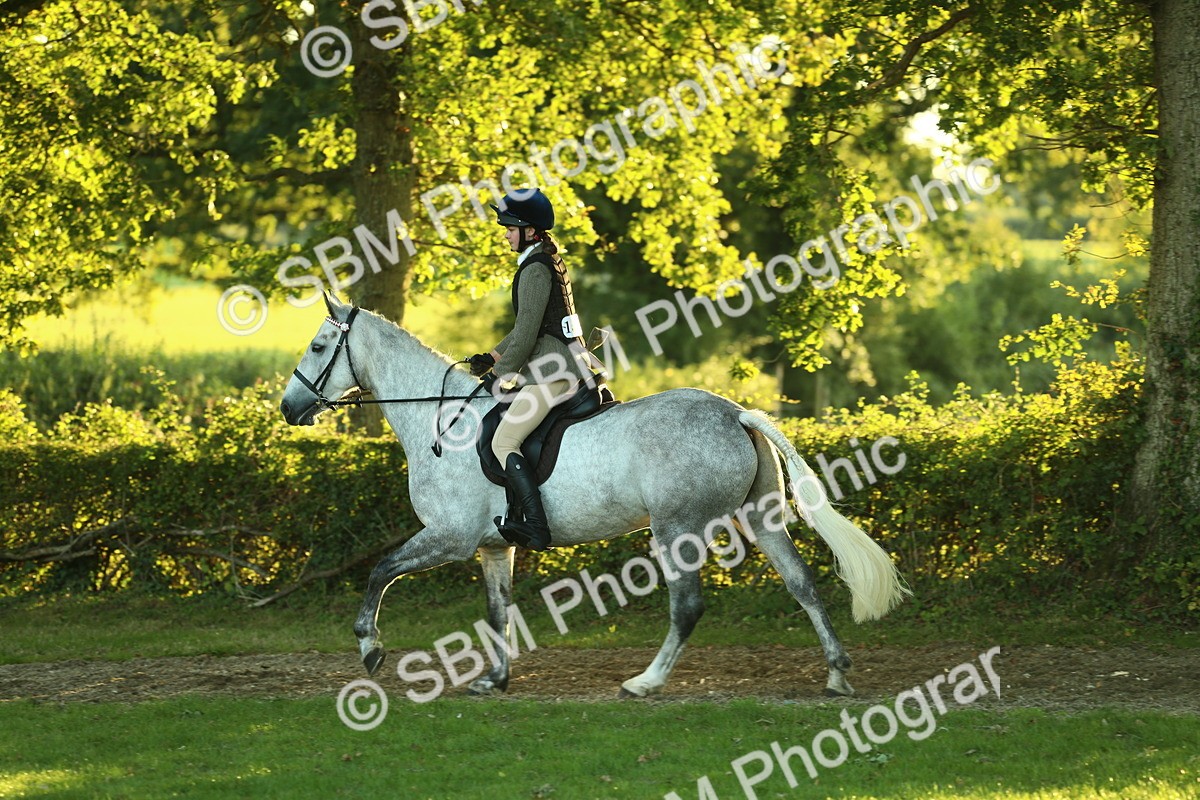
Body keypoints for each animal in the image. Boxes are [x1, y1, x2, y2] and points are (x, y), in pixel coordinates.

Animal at [279, 293, 910, 698]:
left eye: (317, 346)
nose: (288, 408)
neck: (441, 418)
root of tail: (734, 412)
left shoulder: (450, 537)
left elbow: (380, 571)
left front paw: (370, 648)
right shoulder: (492, 546)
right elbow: (496, 610)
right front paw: (495, 679)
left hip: (676, 528)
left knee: (687, 606)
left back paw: (645, 682)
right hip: (761, 518)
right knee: (803, 585)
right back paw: (837, 675)